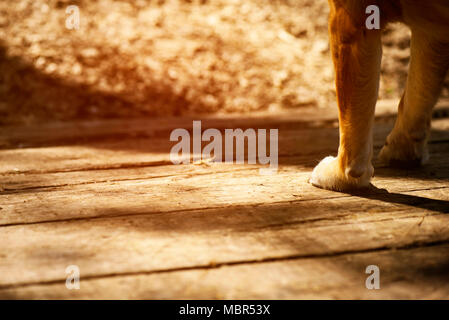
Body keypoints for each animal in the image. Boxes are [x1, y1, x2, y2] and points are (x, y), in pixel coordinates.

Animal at [310, 0, 446, 191]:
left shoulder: (352, 18)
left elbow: (352, 123)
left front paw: (339, 175)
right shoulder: (432, 30)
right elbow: (418, 94)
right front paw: (403, 151)